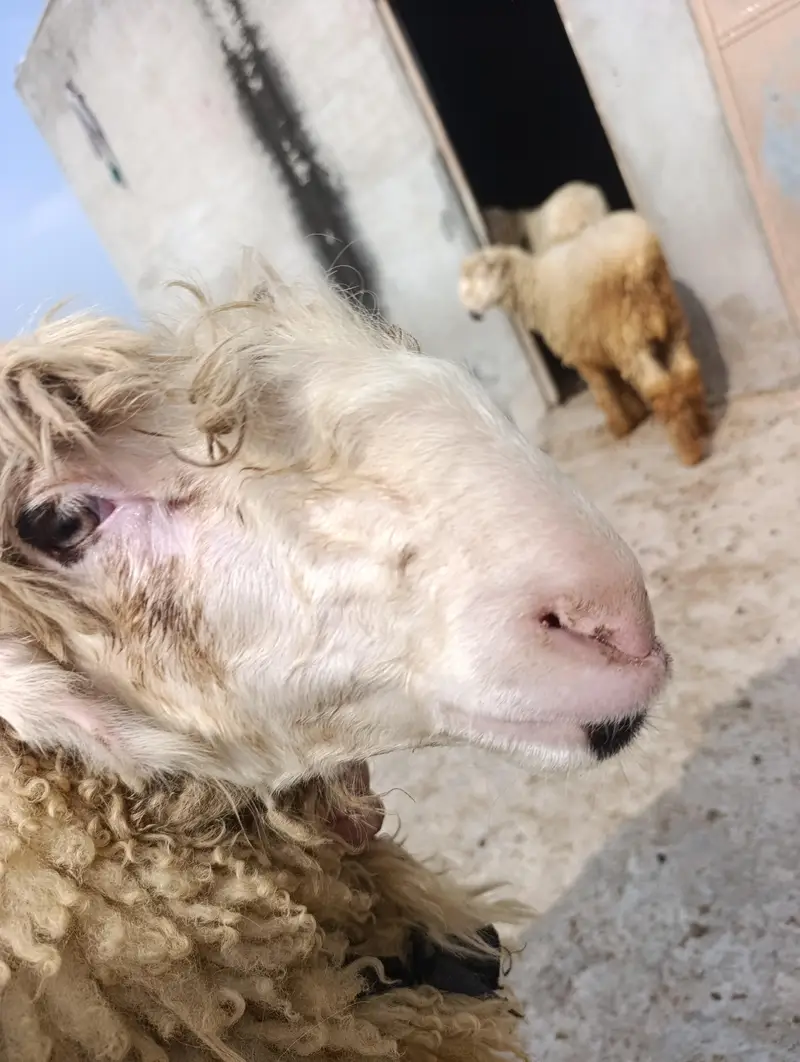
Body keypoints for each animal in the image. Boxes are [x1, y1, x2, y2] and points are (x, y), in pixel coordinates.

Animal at [459, 215, 711, 465]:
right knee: (687, 370)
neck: (533, 287)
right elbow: (619, 384)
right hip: (671, 321)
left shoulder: (581, 352)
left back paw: (689, 451)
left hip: (629, 337)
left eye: (480, 276)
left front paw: (620, 427)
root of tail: (641, 262)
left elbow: (603, 391)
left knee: (661, 389)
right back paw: (702, 426)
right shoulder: (599, 342)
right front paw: (636, 413)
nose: (472, 315)